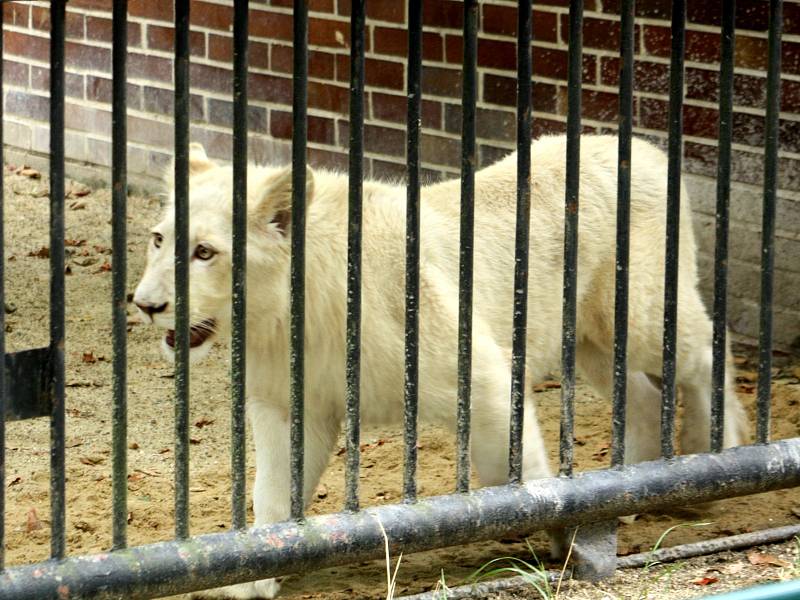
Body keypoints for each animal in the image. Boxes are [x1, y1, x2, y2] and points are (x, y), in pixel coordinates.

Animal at [133, 136, 752, 600]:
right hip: (589, 342)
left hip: (643, 315)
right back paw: (631, 491)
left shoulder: (480, 374)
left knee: (708, 351)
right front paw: (249, 582)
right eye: (160, 239)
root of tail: (643, 148)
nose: (145, 304)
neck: (288, 314)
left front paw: (566, 536)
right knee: (644, 395)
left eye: (205, 252)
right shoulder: (290, 404)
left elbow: (516, 472)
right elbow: (272, 498)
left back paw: (714, 454)